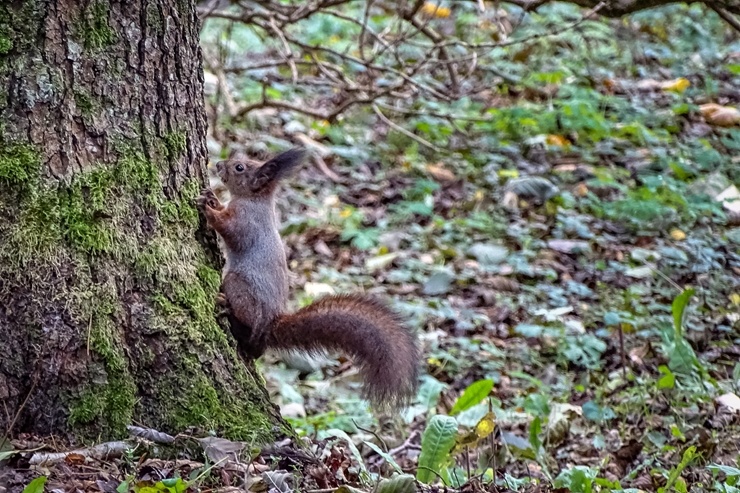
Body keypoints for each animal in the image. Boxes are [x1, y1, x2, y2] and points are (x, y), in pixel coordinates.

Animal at [197, 147, 420, 408]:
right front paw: (212, 197)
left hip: (239, 286)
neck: (255, 200)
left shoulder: (246, 222)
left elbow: (229, 228)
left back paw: (226, 307)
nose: (218, 165)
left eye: (239, 167)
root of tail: (269, 326)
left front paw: (207, 208)